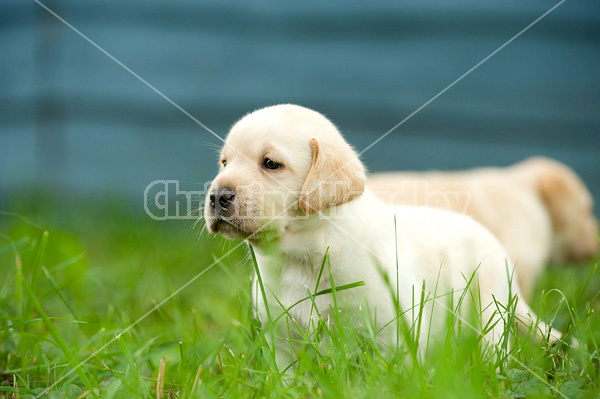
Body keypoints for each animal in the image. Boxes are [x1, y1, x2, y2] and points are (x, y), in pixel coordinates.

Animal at [205, 104, 564, 368]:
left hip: (488, 311)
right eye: (224, 162)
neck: (304, 255)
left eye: (270, 164)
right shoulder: (281, 336)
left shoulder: (392, 331)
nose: (218, 196)